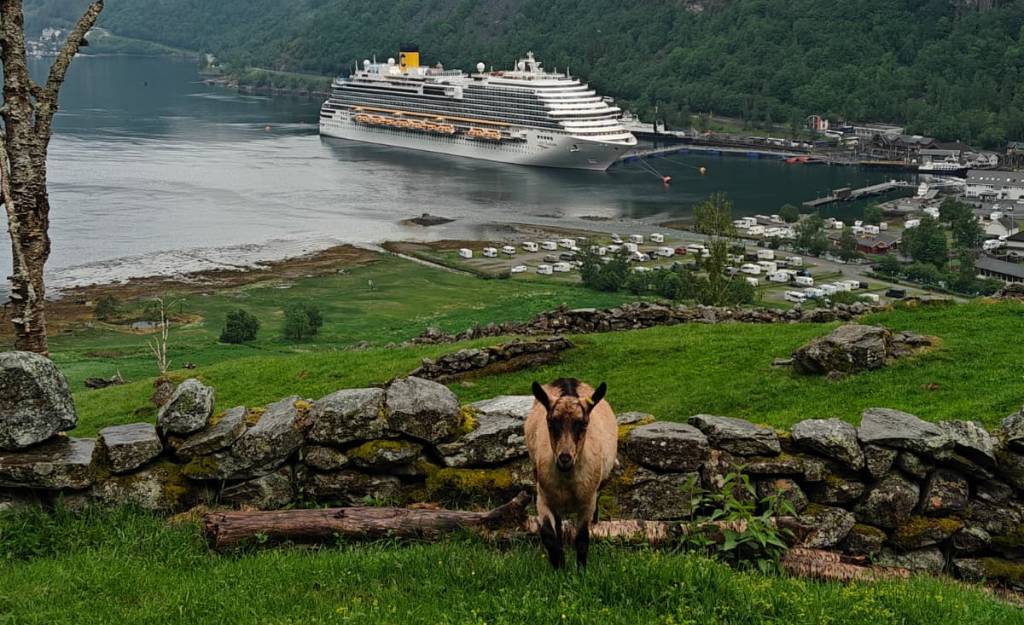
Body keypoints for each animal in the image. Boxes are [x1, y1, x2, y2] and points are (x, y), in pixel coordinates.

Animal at [525, 378, 617, 569]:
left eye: (583, 424)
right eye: (551, 423)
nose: (565, 458)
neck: (567, 481)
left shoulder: (587, 503)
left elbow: (581, 539)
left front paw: (580, 570)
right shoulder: (543, 497)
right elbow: (549, 535)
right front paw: (559, 567)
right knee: (558, 527)